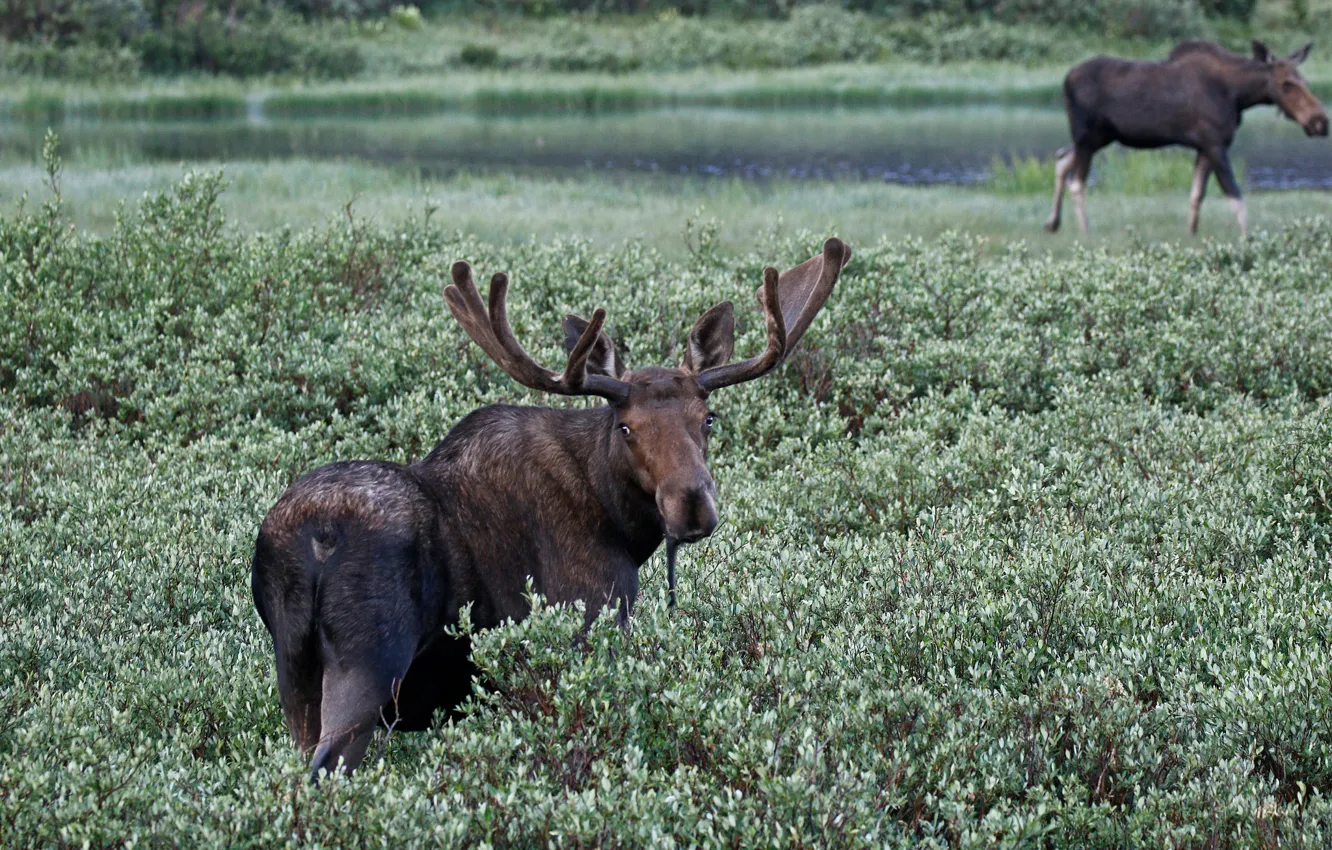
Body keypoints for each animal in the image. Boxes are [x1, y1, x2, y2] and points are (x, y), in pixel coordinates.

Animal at [250, 238, 852, 777]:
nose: (693, 507)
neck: (622, 525)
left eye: (708, 418)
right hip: (370, 663)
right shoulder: (591, 617)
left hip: (294, 671)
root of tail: (309, 543)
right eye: (626, 427)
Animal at [1045, 40, 1329, 237]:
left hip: (1100, 137)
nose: (1321, 121)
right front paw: (1248, 238)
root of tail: (1064, 81)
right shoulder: (1215, 144)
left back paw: (1052, 223)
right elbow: (1236, 196)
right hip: (1088, 136)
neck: (1239, 96)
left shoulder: (1204, 147)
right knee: (1076, 181)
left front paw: (1192, 234)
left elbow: (1196, 195)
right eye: (1286, 84)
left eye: (1304, 80)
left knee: (1062, 159)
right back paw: (1085, 231)